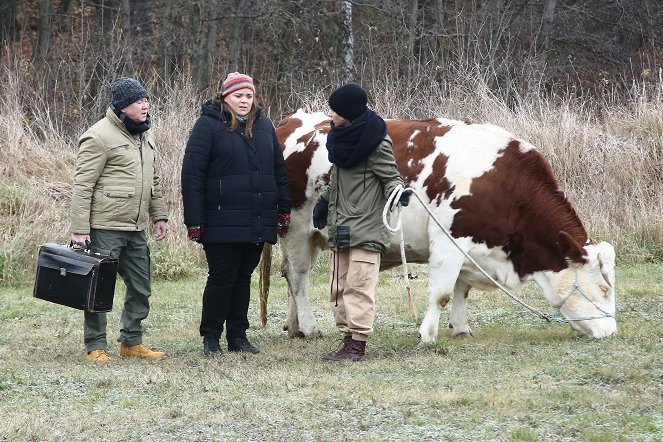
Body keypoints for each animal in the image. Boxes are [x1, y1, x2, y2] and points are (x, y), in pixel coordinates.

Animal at [262, 109, 620, 342]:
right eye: (603, 288)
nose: (611, 332)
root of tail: (293, 121)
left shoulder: (471, 246)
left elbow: (462, 290)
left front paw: (461, 329)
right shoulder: (449, 240)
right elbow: (443, 293)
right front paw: (428, 335)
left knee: (290, 276)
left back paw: (294, 326)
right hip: (297, 229)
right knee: (298, 277)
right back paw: (310, 327)